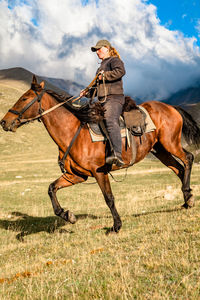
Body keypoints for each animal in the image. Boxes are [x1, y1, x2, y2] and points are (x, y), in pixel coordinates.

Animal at [0, 75, 200, 232]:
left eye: (25, 98)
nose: (4, 122)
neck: (73, 133)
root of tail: (170, 107)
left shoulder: (99, 172)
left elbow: (109, 198)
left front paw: (116, 226)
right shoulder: (76, 175)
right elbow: (51, 189)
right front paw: (68, 215)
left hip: (170, 143)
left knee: (188, 159)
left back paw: (187, 195)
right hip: (160, 150)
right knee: (179, 169)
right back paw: (187, 200)